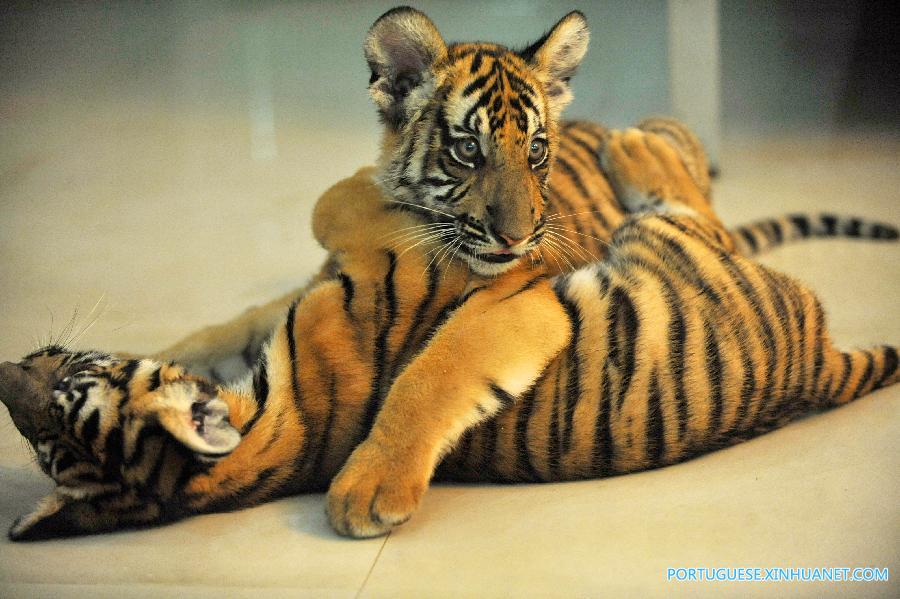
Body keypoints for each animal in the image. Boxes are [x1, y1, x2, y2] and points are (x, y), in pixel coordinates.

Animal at [2, 126, 897, 541]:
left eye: (66, 387)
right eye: (43, 431)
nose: (6, 369)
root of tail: (820, 361)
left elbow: (233, 318)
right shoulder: (459, 278)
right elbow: (352, 233)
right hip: (668, 245)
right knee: (689, 205)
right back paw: (640, 144)